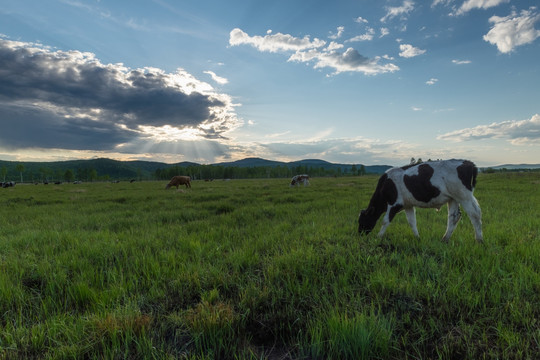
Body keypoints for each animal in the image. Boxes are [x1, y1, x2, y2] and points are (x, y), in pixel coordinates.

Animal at [356, 160, 484, 242]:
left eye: (362, 220)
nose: (360, 234)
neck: (385, 185)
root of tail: (468, 163)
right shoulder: (408, 205)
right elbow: (412, 222)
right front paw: (418, 238)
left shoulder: (394, 203)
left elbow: (385, 221)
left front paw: (378, 237)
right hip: (453, 198)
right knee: (453, 217)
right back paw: (445, 239)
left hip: (464, 196)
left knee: (475, 214)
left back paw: (479, 240)